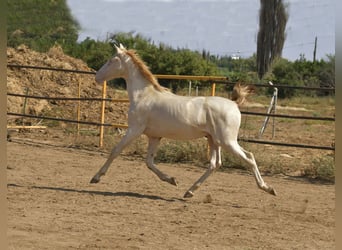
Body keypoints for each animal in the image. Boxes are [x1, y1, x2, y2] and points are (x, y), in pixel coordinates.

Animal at [90, 44, 276, 198]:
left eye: (111, 60)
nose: (97, 77)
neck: (143, 96)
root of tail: (234, 104)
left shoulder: (134, 130)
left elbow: (115, 151)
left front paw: (96, 177)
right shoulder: (154, 136)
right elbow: (149, 162)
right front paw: (172, 180)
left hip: (227, 141)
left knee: (249, 157)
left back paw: (268, 188)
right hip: (214, 140)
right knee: (215, 164)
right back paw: (189, 192)